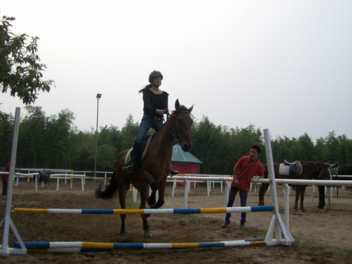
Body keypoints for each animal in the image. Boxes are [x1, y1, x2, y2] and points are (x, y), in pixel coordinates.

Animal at [95, 99, 194, 241]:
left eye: (191, 121)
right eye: (180, 120)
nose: (187, 145)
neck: (160, 150)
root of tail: (120, 156)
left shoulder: (163, 179)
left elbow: (161, 201)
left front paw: (149, 211)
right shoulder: (145, 174)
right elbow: (154, 187)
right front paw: (151, 201)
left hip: (142, 187)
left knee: (141, 207)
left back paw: (147, 229)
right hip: (123, 186)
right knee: (123, 211)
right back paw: (123, 233)